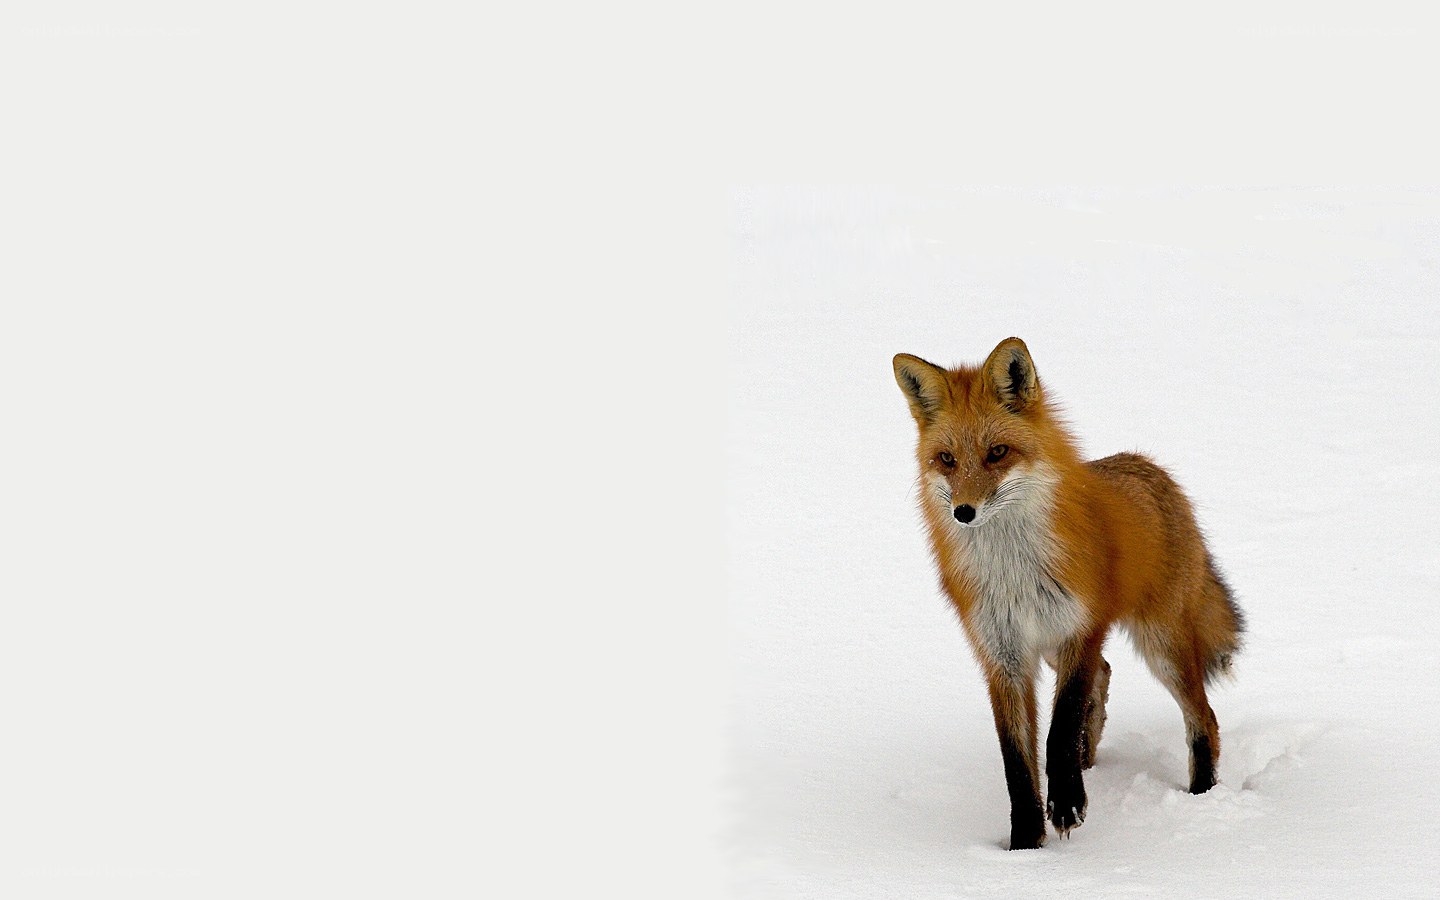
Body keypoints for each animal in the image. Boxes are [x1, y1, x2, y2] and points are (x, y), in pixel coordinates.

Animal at [891, 337, 1244, 850]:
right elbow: (1016, 760)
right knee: (1107, 673)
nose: (964, 512)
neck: (1014, 571)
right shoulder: (1003, 655)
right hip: (1059, 650)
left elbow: (1060, 728)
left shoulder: (1081, 627)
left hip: (1161, 646)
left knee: (1204, 717)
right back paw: (1088, 760)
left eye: (998, 452)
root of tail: (1149, 466)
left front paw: (1065, 805)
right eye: (947, 459)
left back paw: (1201, 796)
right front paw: (1023, 844)